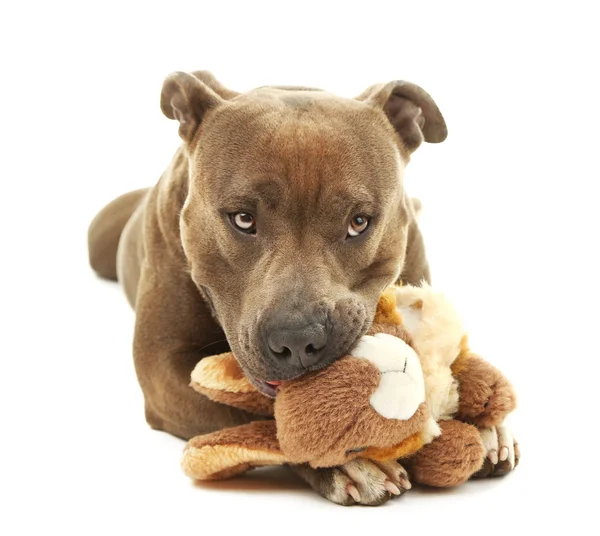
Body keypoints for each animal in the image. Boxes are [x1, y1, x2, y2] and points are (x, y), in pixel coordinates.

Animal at [88, 70, 446, 502]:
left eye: (359, 222)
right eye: (242, 219)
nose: (297, 339)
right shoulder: (162, 371)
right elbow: (261, 420)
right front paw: (344, 462)